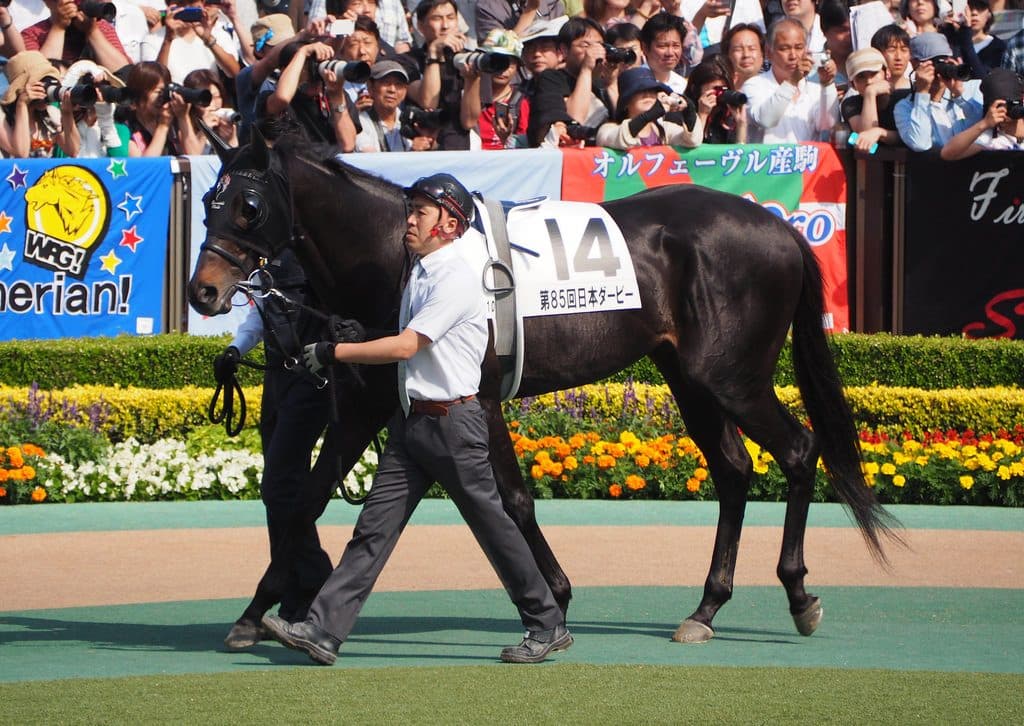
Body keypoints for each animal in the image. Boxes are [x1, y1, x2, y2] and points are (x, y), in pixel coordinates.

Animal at [187, 132, 898, 645]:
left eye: (249, 206)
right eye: (205, 203)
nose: (203, 292)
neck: (400, 258)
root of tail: (782, 229)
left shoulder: (478, 394)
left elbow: (513, 499)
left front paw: (553, 595)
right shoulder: (366, 405)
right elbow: (304, 500)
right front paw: (256, 612)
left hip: (734, 378)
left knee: (799, 451)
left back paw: (798, 595)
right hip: (689, 377)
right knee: (732, 470)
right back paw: (706, 607)